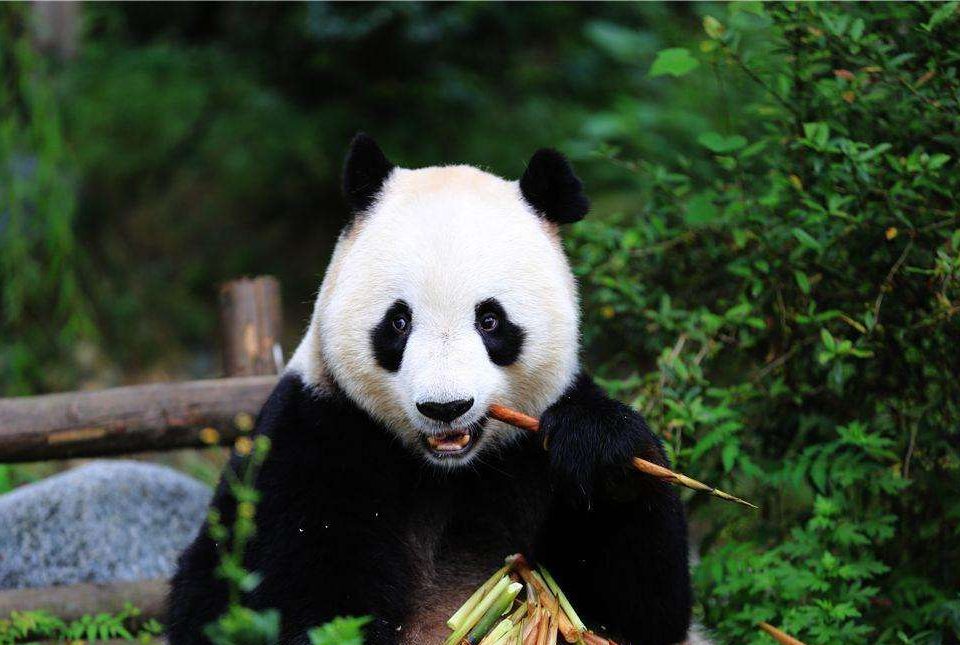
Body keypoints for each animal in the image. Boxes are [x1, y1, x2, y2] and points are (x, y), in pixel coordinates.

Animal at [168, 134, 704, 645]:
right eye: (399, 322)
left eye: (490, 321)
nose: (445, 407)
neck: (449, 471)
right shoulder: (315, 435)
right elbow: (296, 593)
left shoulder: (535, 451)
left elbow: (640, 610)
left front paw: (600, 450)